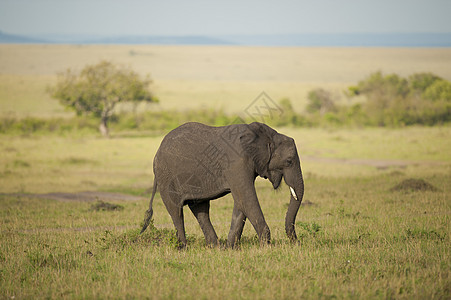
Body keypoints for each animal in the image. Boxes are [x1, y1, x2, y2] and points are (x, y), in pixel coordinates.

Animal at [139, 120, 306, 247]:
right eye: (289, 161)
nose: (296, 243)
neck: (268, 135)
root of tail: (157, 153)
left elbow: (241, 202)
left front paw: (231, 248)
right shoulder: (236, 162)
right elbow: (246, 198)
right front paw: (266, 246)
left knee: (201, 209)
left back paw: (215, 247)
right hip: (166, 178)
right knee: (176, 212)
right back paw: (183, 248)